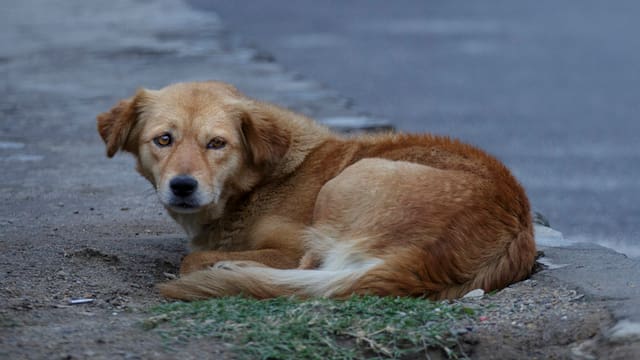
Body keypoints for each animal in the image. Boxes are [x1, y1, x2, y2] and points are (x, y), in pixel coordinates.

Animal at [96, 81, 536, 300]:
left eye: (217, 143)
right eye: (163, 140)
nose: (183, 186)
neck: (260, 181)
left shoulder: (289, 243)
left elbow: (194, 258)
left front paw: (217, 261)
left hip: (348, 182)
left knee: (310, 268)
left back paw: (231, 270)